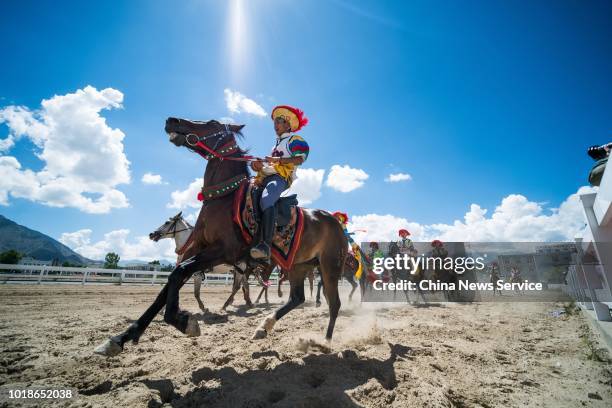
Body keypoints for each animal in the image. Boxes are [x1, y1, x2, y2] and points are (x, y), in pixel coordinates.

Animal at [93, 118, 346, 356]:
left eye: (212, 123)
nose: (172, 120)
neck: (223, 198)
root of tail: (336, 222)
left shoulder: (223, 251)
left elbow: (179, 273)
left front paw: (183, 321)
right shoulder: (198, 249)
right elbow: (170, 282)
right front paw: (122, 337)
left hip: (329, 267)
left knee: (334, 303)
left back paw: (325, 342)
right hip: (297, 266)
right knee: (297, 298)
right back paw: (264, 327)